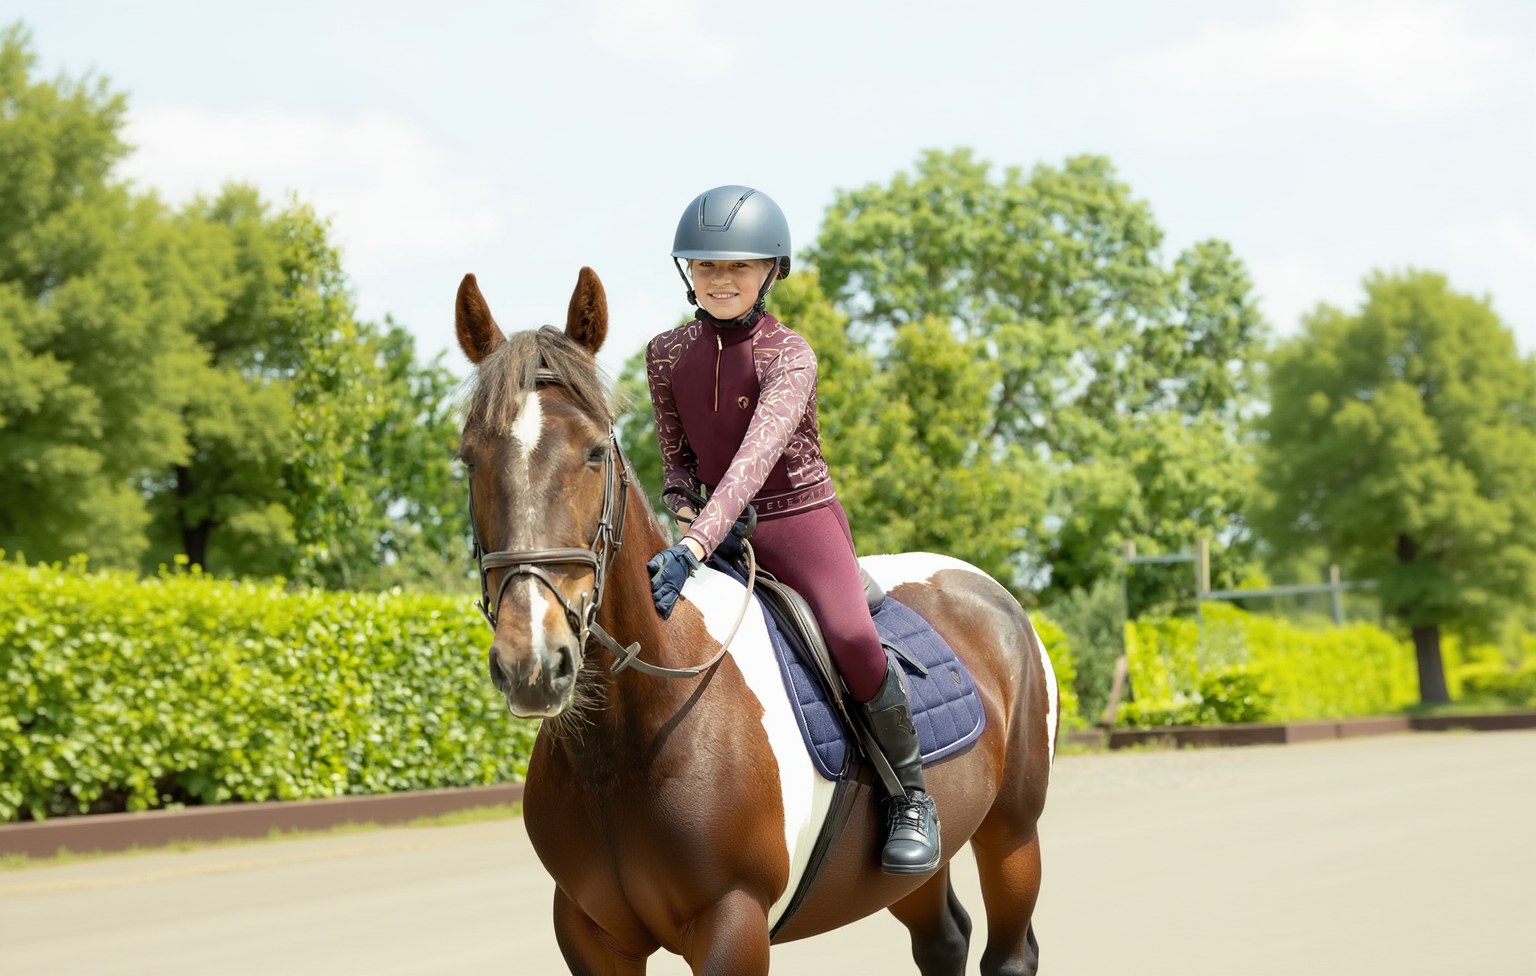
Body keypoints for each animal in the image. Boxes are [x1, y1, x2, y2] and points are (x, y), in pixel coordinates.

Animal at [453, 267, 1058, 976]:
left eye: (596, 452)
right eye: (469, 458)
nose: (533, 662)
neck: (627, 740)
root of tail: (988, 590)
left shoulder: (733, 924)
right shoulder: (587, 933)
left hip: (1013, 834)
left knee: (1009, 949)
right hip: (909, 877)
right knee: (943, 940)